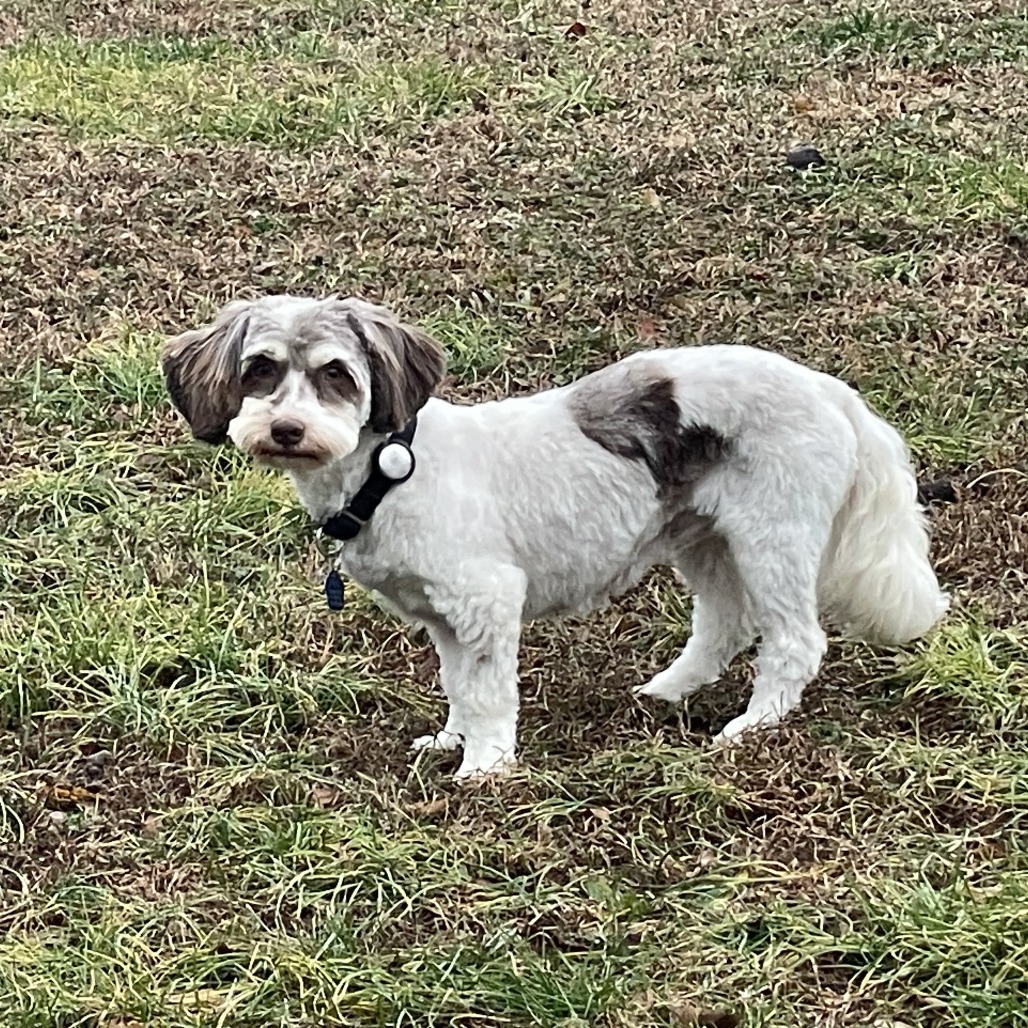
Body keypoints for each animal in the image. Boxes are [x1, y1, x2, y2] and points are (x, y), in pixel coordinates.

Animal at [162, 294, 945, 773]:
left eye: (335, 374)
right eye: (260, 370)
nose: (286, 429)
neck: (387, 472)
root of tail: (831, 391)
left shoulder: (484, 601)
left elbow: (486, 690)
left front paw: (482, 767)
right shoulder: (446, 619)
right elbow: (457, 684)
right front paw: (451, 740)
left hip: (772, 535)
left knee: (793, 640)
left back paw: (753, 726)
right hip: (704, 536)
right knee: (723, 623)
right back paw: (668, 692)